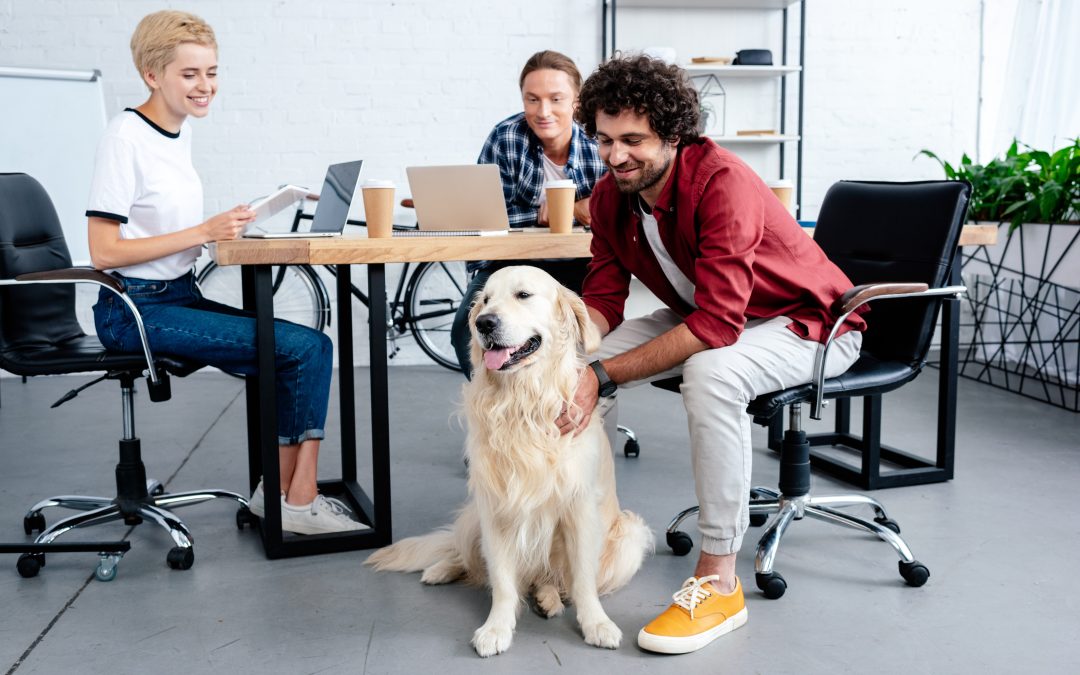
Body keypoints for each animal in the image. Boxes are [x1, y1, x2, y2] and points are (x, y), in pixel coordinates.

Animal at [367, 265, 648, 656]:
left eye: (523, 295)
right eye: (485, 299)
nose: (483, 323)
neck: (522, 401)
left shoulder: (579, 508)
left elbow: (582, 579)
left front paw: (596, 623)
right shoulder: (496, 507)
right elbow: (501, 579)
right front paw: (496, 628)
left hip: (630, 537)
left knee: (551, 578)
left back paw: (549, 597)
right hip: (473, 517)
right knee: (465, 554)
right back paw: (441, 569)